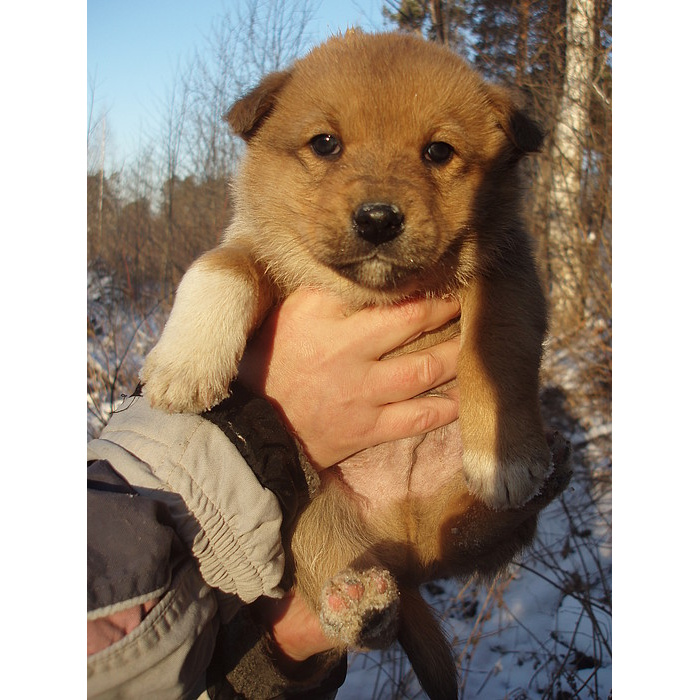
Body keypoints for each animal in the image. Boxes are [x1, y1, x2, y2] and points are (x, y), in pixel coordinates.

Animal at [141, 31, 568, 700]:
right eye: (325, 144)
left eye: (439, 152)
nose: (378, 218)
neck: (374, 295)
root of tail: (410, 547)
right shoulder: (256, 248)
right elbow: (220, 264)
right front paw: (183, 366)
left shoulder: (507, 269)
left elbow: (495, 344)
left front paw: (508, 454)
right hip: (308, 515)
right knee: (345, 577)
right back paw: (361, 601)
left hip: (454, 523)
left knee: (476, 538)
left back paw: (539, 478)